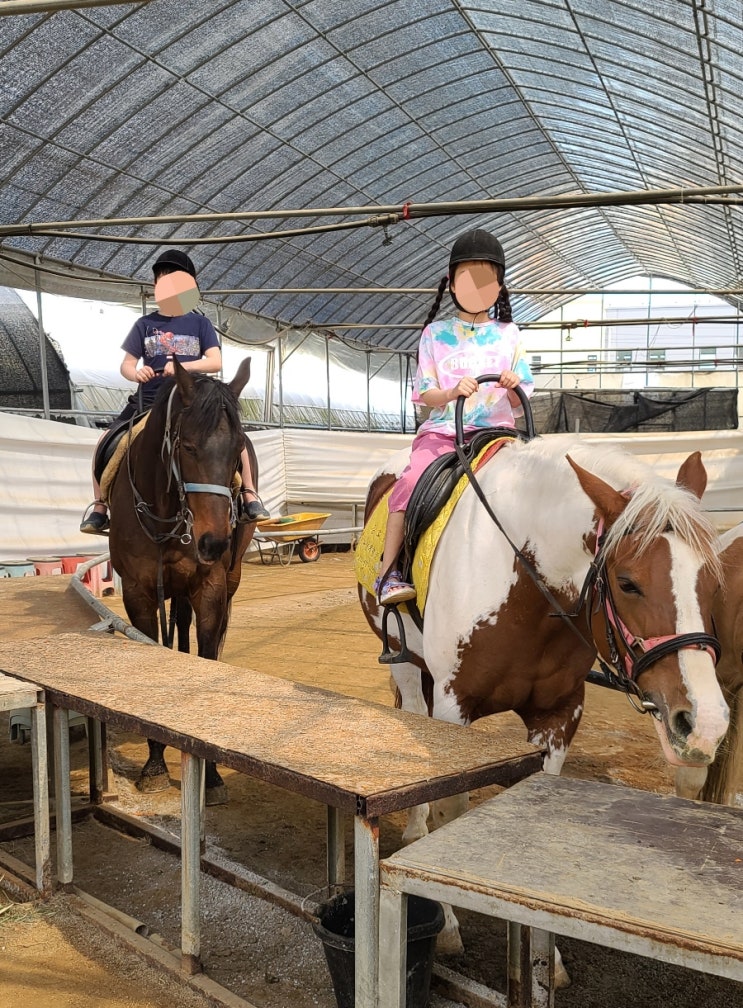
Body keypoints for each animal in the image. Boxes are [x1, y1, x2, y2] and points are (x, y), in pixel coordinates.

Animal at [108, 356, 257, 804]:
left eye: (237, 450)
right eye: (188, 447)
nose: (213, 541)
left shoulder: (210, 587)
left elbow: (207, 655)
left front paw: (213, 774)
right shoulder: (139, 592)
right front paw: (155, 763)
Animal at [357, 432, 729, 961]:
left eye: (713, 581)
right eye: (627, 582)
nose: (704, 724)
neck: (525, 583)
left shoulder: (559, 713)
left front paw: (543, 957)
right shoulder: (454, 710)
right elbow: (451, 806)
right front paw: (447, 922)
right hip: (405, 662)